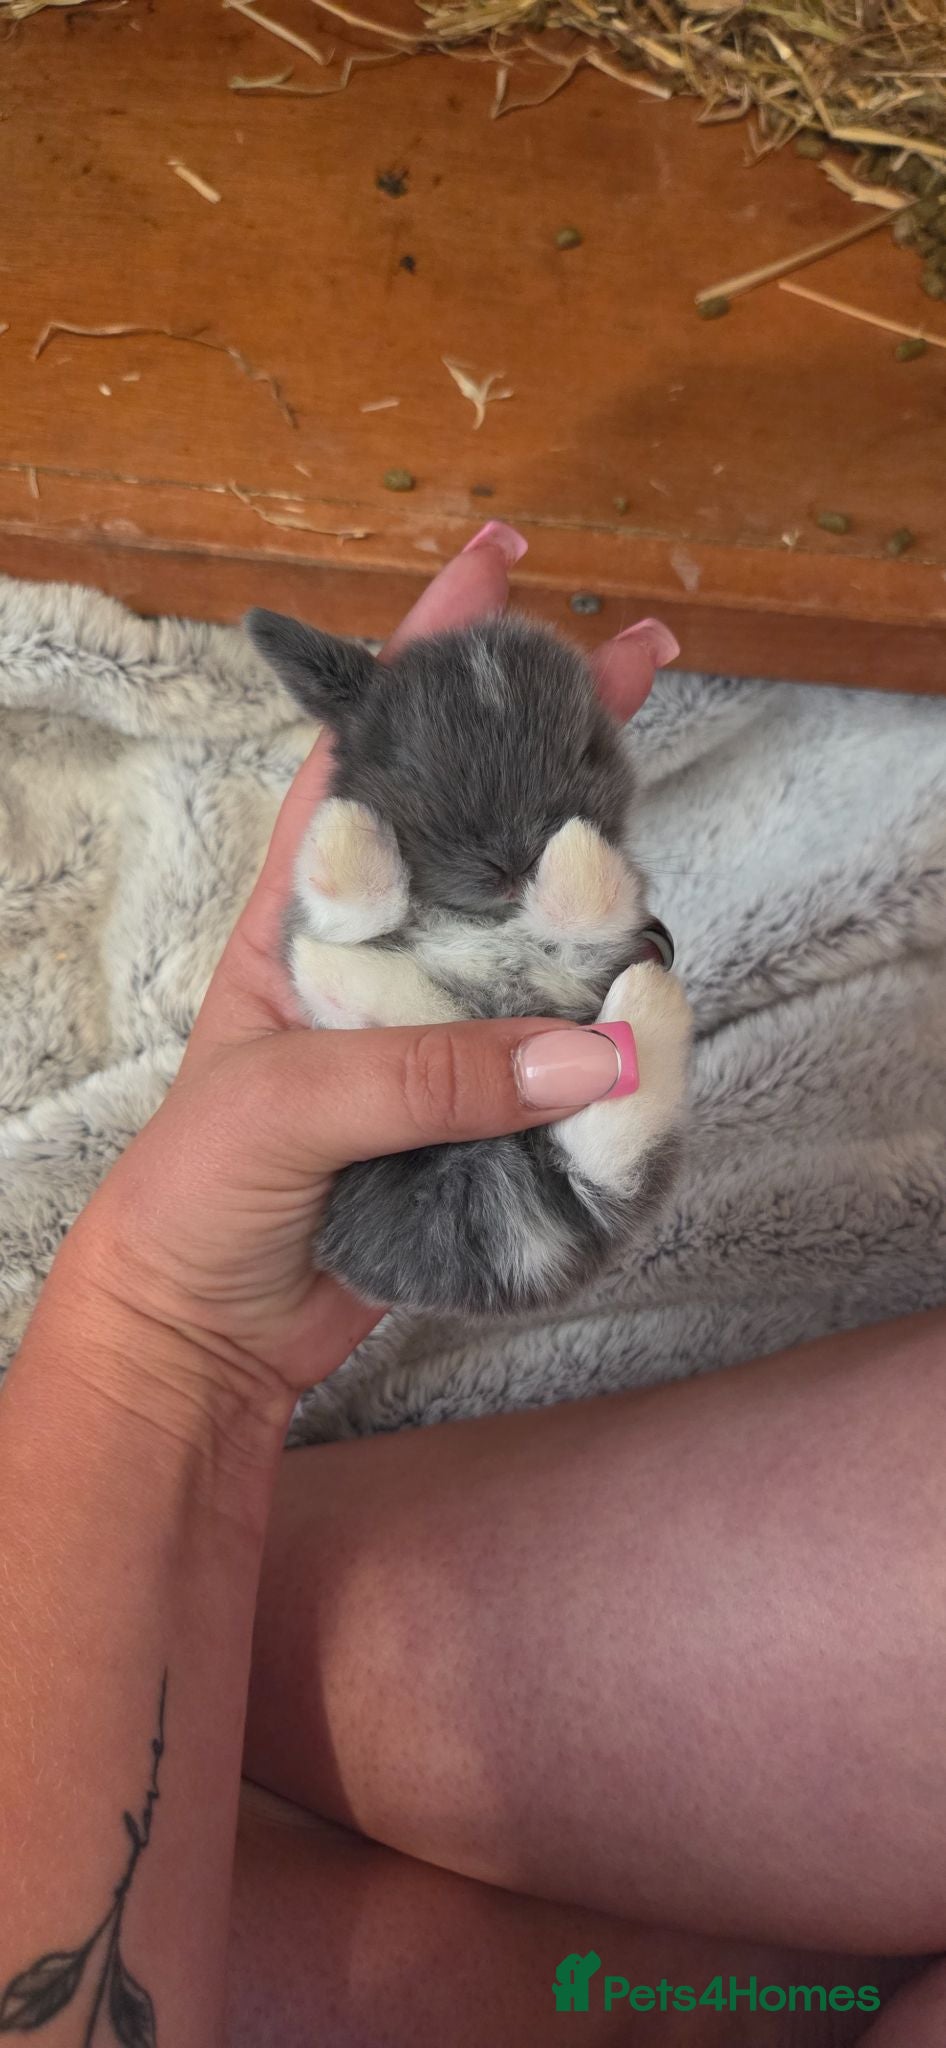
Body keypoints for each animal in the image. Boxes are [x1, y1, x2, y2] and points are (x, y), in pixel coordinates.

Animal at [247, 607, 693, 1317]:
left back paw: (649, 1001)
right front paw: (346, 828)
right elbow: (356, 910)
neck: (485, 921)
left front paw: (577, 852)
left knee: (613, 1153)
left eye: (586, 751)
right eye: (408, 766)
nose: (512, 864)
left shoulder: (592, 957)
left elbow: (589, 916)